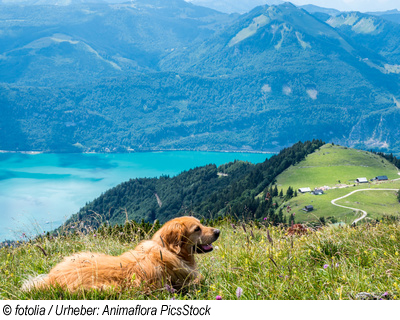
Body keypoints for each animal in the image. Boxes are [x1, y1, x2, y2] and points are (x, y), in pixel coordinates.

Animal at [21, 216, 220, 292]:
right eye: (197, 229)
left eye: (201, 223)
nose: (218, 231)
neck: (167, 250)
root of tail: (51, 279)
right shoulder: (185, 281)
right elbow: (201, 278)